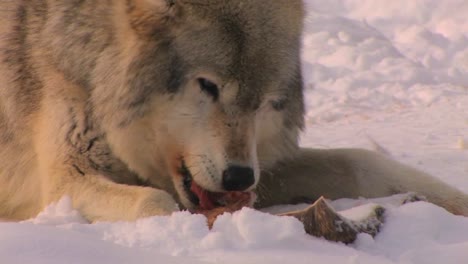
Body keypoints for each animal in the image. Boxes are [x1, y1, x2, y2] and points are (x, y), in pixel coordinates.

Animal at [0, 0, 466, 227]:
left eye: (263, 101)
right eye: (208, 86)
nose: (239, 177)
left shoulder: (266, 165)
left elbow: (361, 160)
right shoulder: (62, 181)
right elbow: (157, 200)